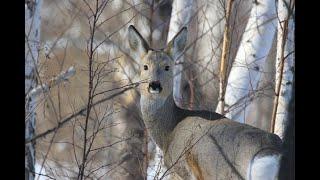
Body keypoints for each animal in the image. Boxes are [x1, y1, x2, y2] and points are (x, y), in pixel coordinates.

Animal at [127, 24, 282, 180]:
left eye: (167, 67)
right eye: (145, 66)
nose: (154, 85)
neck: (169, 131)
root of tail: (271, 152)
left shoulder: (182, 169)